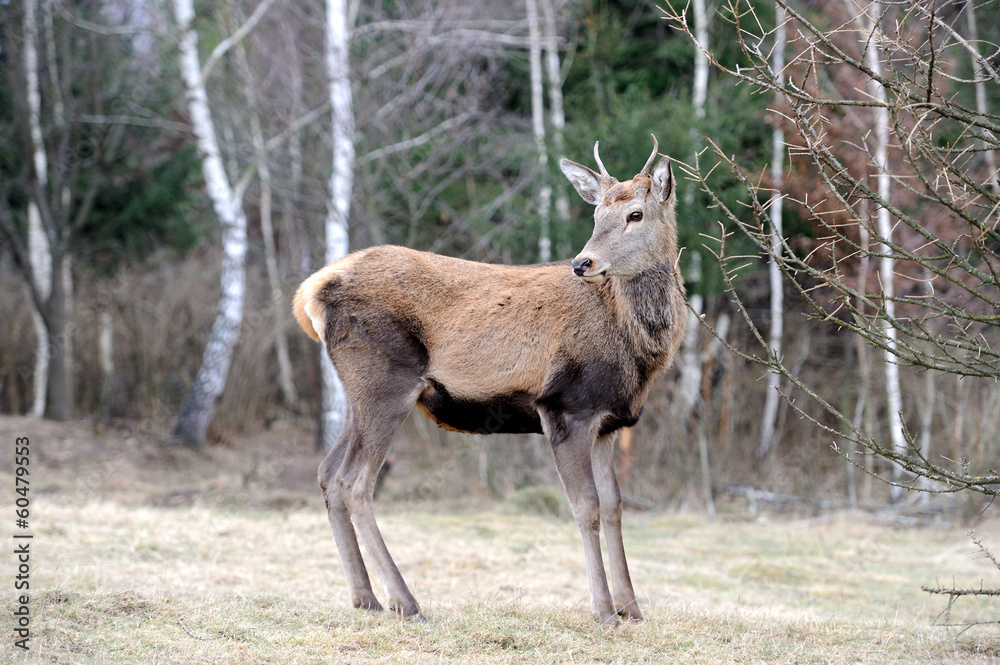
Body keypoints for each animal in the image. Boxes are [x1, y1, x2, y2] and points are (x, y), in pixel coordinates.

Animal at [293, 135, 686, 626]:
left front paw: (632, 608)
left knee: (328, 473)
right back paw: (405, 601)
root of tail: (309, 293)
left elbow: (615, 507)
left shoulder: (609, 421)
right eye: (597, 216)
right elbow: (586, 507)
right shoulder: (565, 406)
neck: (636, 348)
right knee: (355, 481)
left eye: (635, 214)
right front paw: (603, 612)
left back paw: (365, 597)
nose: (583, 262)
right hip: (385, 381)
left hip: (358, 393)